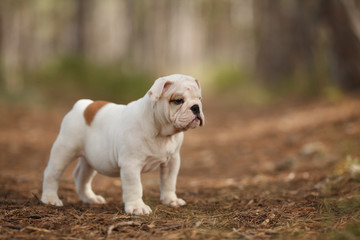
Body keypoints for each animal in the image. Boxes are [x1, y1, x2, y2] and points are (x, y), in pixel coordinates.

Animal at [40, 74, 204, 215]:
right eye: (178, 100)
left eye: (199, 99)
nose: (196, 107)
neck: (162, 133)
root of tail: (82, 105)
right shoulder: (131, 164)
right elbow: (135, 187)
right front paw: (138, 207)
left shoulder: (172, 161)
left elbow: (169, 181)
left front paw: (171, 200)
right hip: (64, 149)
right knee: (52, 173)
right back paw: (50, 199)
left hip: (91, 159)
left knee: (81, 176)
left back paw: (91, 198)